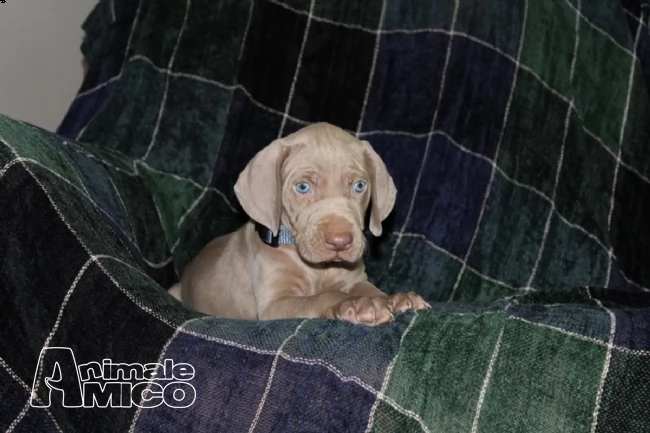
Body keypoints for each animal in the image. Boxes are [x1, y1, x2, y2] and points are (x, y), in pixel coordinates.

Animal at [170, 121, 428, 324]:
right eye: (302, 187)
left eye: (359, 186)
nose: (340, 242)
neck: (319, 270)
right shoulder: (274, 304)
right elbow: (321, 297)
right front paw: (357, 305)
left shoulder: (354, 279)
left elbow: (370, 290)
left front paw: (394, 298)